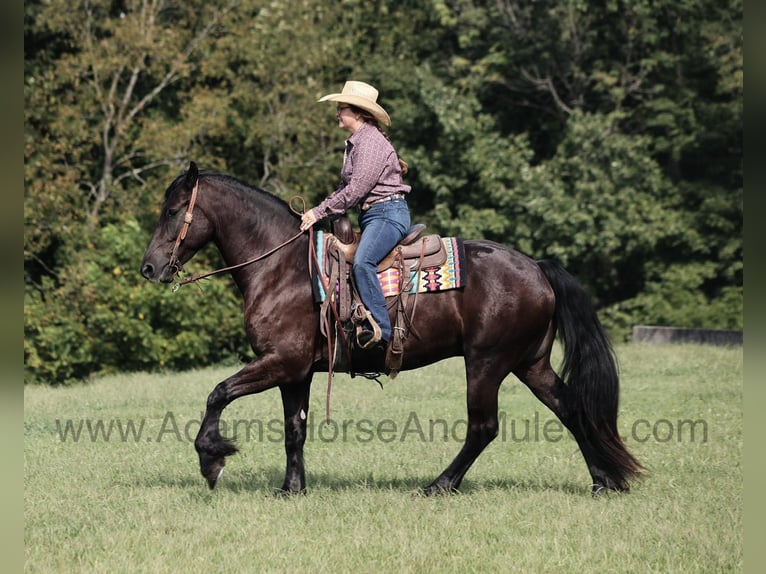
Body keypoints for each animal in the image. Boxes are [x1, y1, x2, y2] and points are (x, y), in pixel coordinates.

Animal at [140, 161, 643, 495]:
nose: (149, 268)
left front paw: (212, 459)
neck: (282, 267)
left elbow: (218, 393)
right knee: (571, 408)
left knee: (483, 427)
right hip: (530, 364)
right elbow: (294, 428)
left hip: (487, 363)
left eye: (172, 211)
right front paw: (292, 488)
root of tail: (537, 267)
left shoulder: (279, 361)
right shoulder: (295, 371)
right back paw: (603, 481)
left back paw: (439, 485)